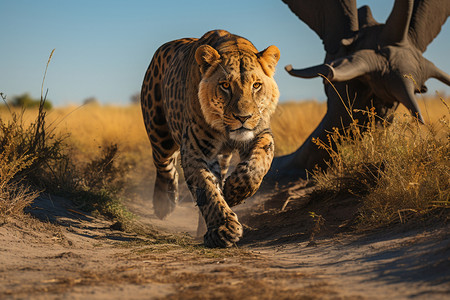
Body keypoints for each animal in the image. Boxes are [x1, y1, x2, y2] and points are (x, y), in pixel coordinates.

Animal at [142, 29, 282, 247]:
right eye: (225, 85)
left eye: (256, 85)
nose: (243, 118)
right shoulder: (196, 150)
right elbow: (207, 189)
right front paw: (223, 229)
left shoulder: (261, 133)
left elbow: (257, 166)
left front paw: (233, 192)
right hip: (159, 132)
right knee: (164, 166)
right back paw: (164, 204)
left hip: (220, 158)